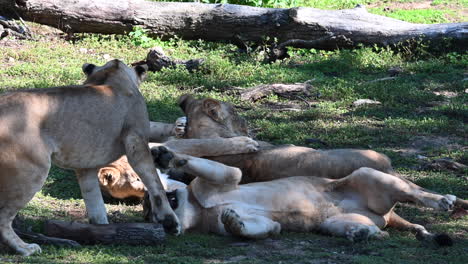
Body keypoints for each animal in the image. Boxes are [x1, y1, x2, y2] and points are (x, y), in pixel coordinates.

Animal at [0, 59, 179, 256]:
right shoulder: (136, 142)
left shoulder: (85, 164)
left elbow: (95, 202)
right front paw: (170, 222)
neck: (112, 75)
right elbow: (155, 184)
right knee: (3, 218)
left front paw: (103, 230)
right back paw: (24, 248)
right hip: (32, 171)